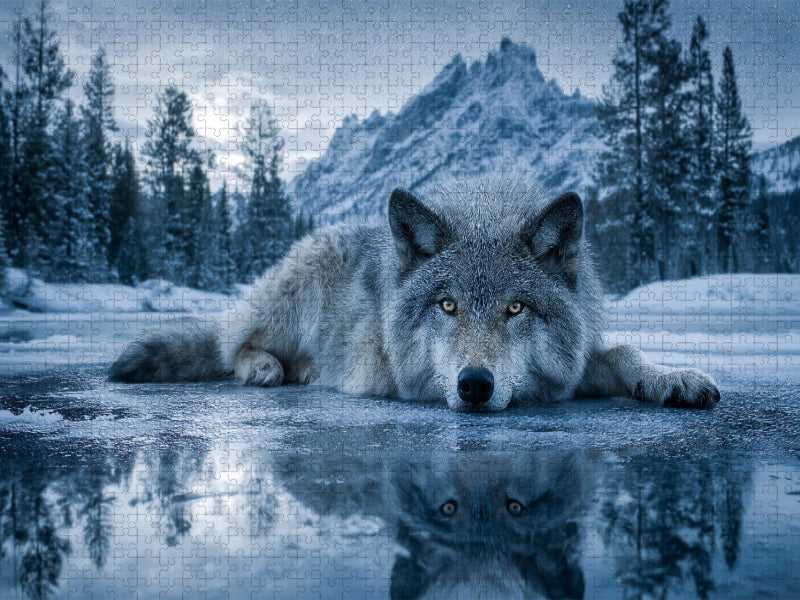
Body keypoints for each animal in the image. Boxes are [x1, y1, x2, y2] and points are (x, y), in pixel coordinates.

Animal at [109, 178, 720, 412]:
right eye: (447, 305)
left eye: (516, 307)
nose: (474, 385)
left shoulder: (566, 369)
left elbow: (622, 353)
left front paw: (673, 378)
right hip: (291, 295)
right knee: (230, 343)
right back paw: (266, 367)